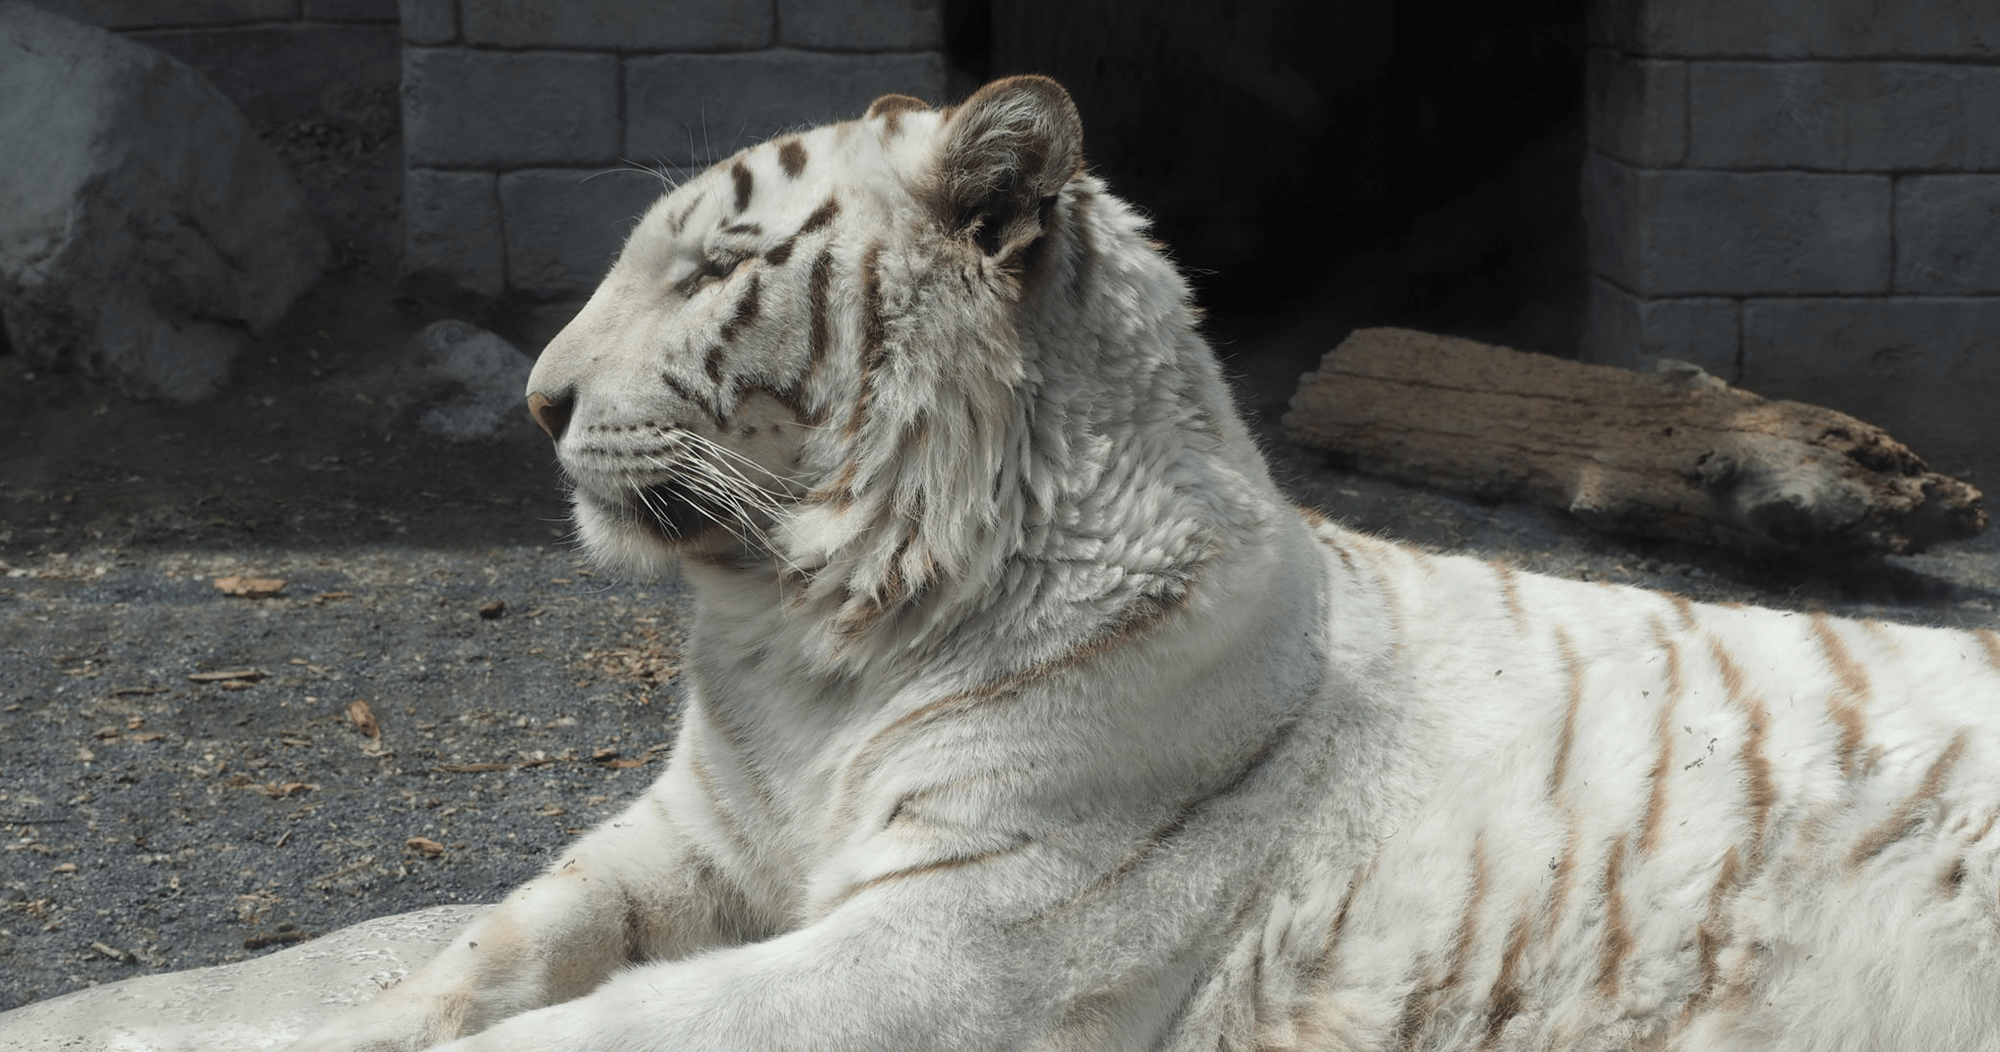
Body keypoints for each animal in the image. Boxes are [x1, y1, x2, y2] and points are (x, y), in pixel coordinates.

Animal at [290, 76, 2000, 1052]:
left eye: (716, 266)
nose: (537, 400)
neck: (807, 640)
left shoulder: (956, 938)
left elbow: (609, 1026)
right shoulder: (697, 839)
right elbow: (504, 940)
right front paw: (355, 1024)